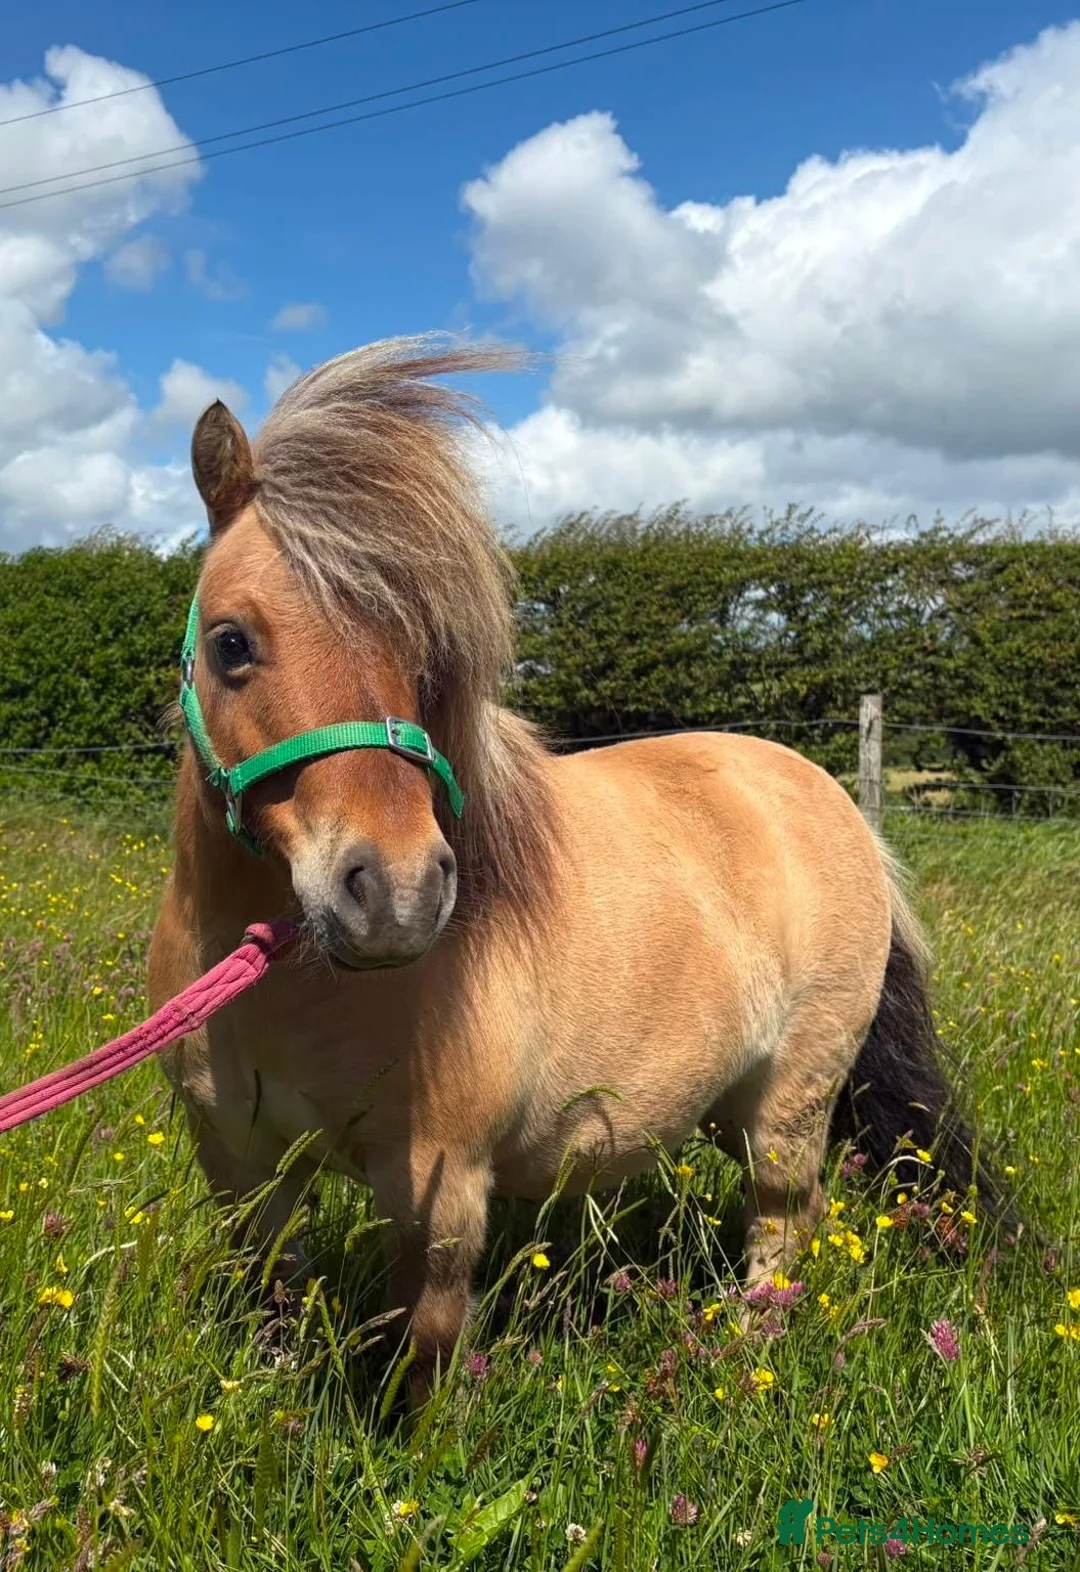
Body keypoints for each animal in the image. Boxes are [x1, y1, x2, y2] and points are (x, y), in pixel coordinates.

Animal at [148, 337, 1000, 1402]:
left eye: (428, 659)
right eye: (232, 643)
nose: (397, 896)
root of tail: (829, 799)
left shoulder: (440, 1197)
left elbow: (418, 1368)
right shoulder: (242, 1172)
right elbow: (275, 1313)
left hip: (790, 1109)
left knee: (783, 1223)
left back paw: (742, 1366)